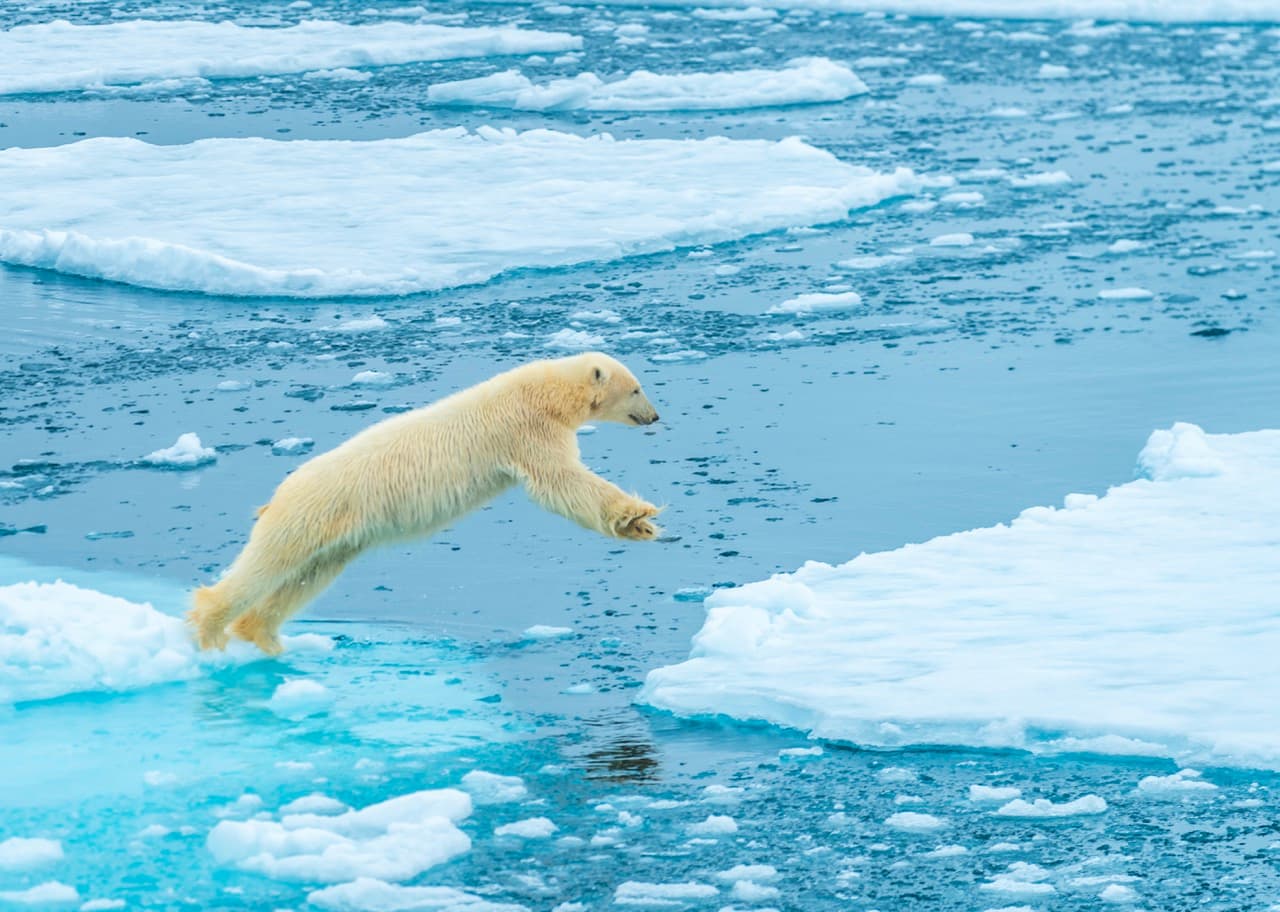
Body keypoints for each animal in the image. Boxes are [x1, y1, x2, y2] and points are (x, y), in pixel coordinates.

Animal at [188, 352, 662, 655]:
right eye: (636, 389)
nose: (656, 416)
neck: (543, 392)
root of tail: (278, 494)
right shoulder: (527, 431)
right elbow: (562, 483)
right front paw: (638, 517)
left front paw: (641, 525)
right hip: (311, 513)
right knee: (266, 565)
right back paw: (210, 630)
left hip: (338, 536)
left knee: (307, 575)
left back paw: (267, 638)